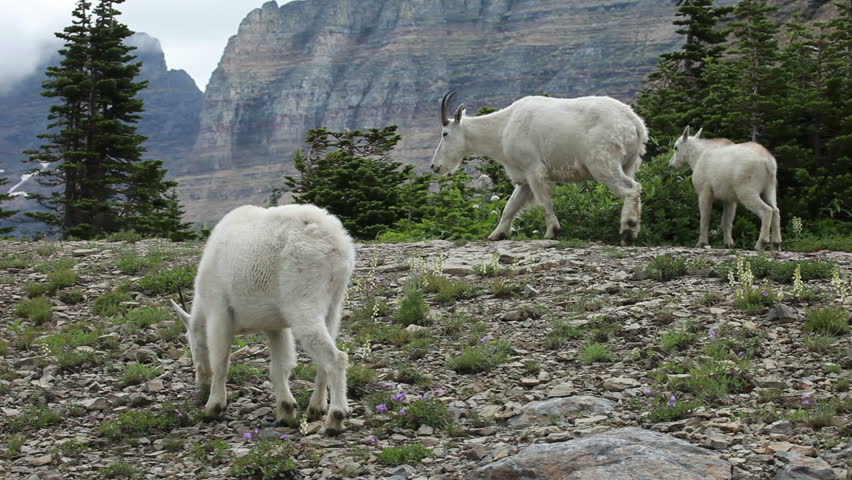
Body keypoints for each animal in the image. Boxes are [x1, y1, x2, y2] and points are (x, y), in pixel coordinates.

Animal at [169, 204, 355, 435]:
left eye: (190, 343)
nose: (200, 387)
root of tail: (335, 245)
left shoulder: (219, 312)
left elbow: (221, 361)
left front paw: (213, 406)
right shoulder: (274, 326)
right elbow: (279, 367)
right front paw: (286, 410)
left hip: (303, 299)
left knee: (335, 358)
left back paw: (335, 417)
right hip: (334, 303)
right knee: (324, 356)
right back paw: (315, 408)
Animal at [430, 92, 647, 245]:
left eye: (445, 133)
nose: (434, 166)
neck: (502, 129)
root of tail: (635, 123)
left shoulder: (534, 170)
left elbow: (544, 202)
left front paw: (552, 232)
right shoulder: (524, 179)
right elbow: (510, 207)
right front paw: (496, 234)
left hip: (602, 162)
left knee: (631, 188)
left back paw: (628, 232)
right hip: (628, 163)